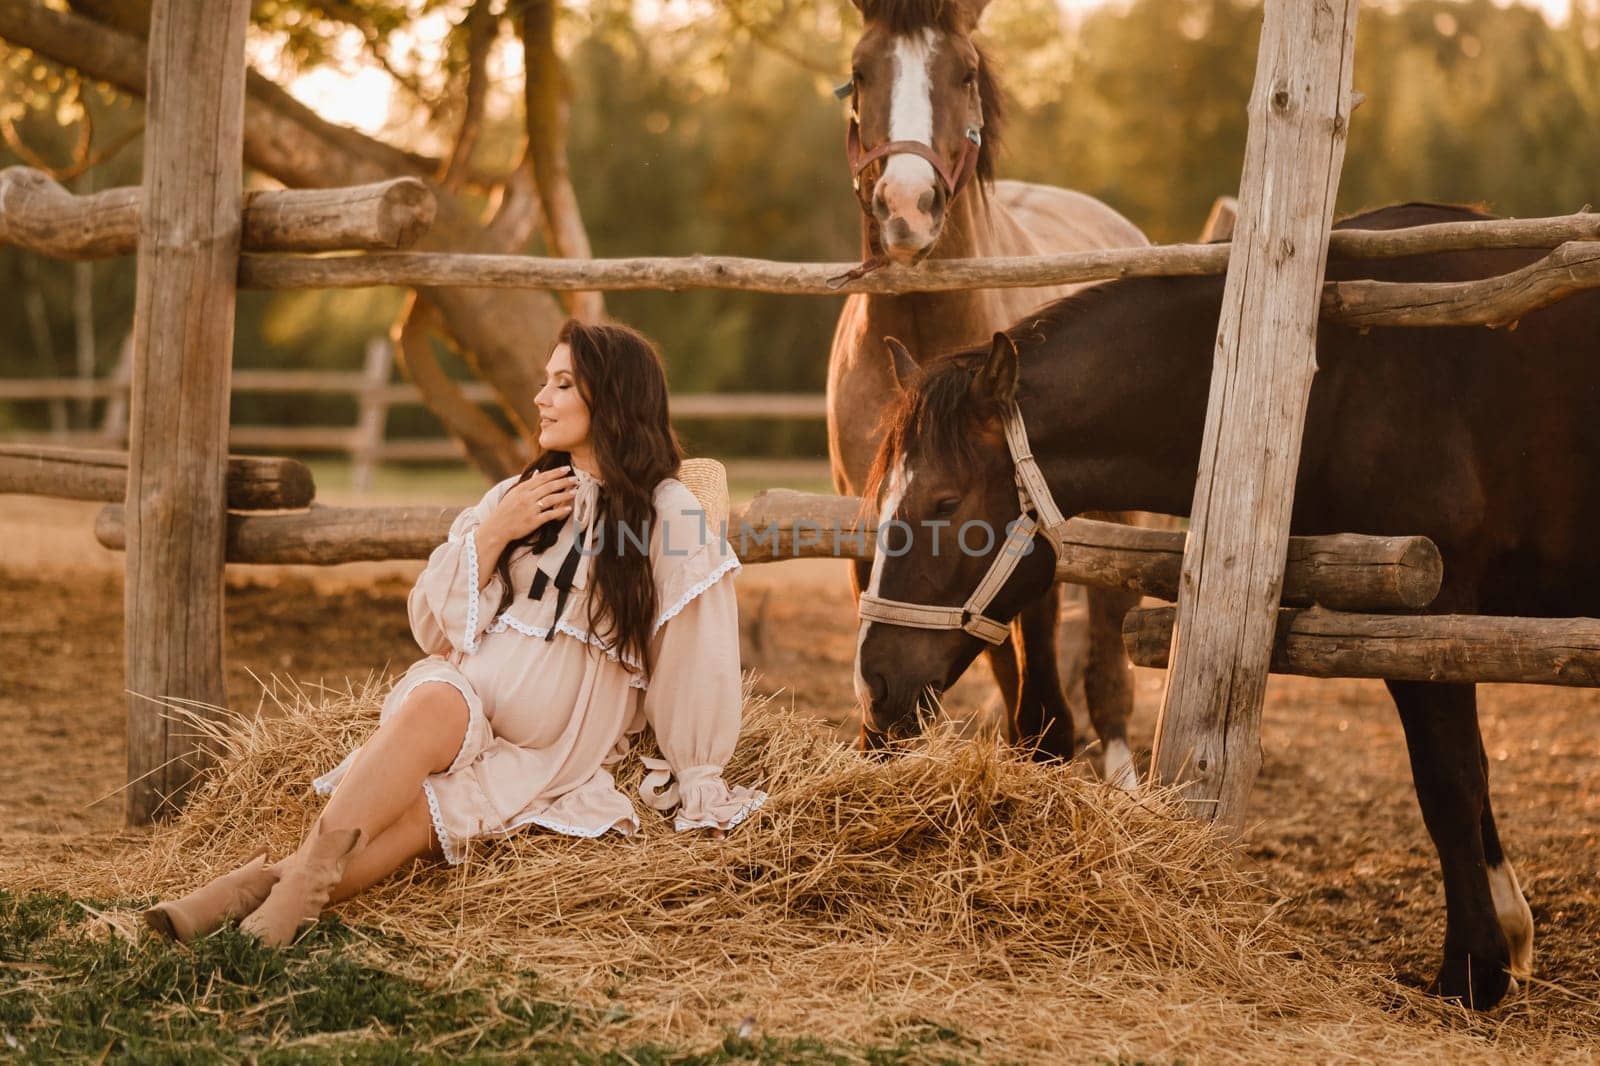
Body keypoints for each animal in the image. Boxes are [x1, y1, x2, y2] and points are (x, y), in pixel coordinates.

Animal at [832, 0, 1158, 777]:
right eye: (861, 70)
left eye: (965, 72)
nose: (907, 205)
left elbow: (1040, 673)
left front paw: (1048, 752)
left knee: (1106, 661)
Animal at [851, 203, 1600, 1011]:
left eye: (943, 503)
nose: (874, 682)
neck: (1333, 374)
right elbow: (1471, 778)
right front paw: (1508, 939)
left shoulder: (1427, 617)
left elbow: (1450, 781)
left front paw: (1471, 971)